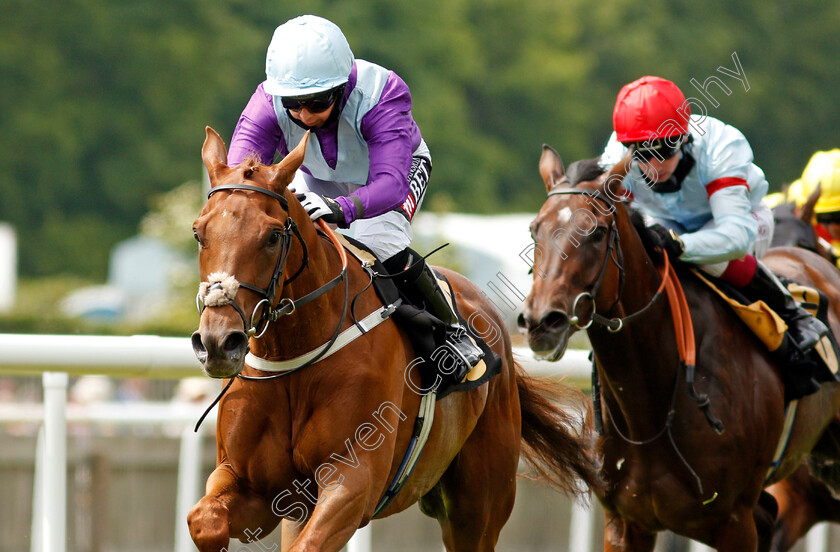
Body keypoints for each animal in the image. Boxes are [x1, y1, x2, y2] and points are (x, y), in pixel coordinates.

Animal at [189, 129, 596, 552]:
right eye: (199, 233)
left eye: (271, 236)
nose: (218, 341)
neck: (298, 355)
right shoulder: (258, 487)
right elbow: (204, 522)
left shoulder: (353, 481)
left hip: (478, 506)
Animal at [520, 144, 840, 548]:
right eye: (535, 229)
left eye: (596, 232)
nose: (542, 321)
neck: (650, 407)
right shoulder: (625, 521)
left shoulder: (735, 522)